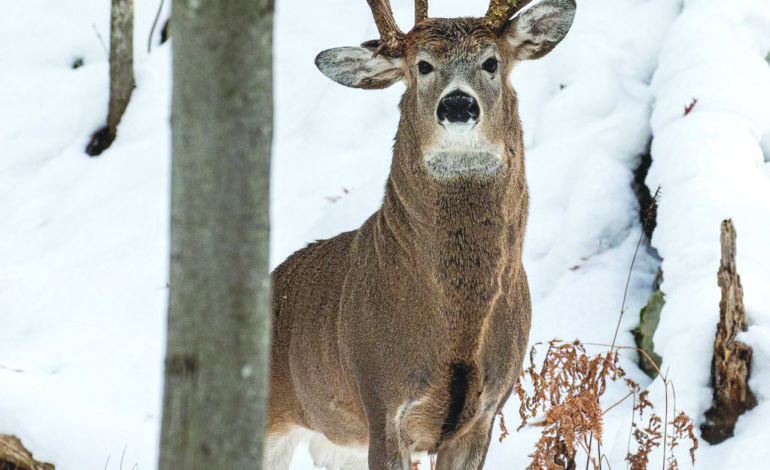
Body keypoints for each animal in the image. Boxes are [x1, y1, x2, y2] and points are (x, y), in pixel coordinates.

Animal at [268, 0, 572, 470]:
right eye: (422, 66)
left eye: (491, 62)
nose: (459, 104)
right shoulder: (381, 400)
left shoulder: (485, 414)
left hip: (334, 444)